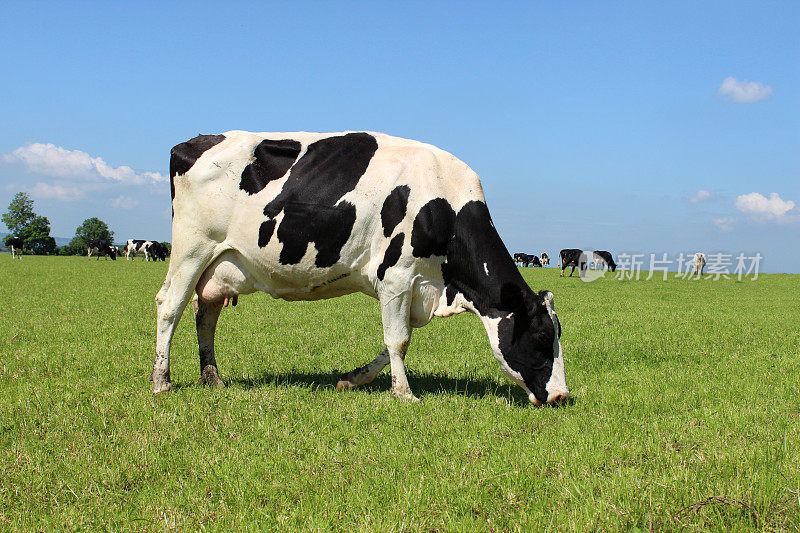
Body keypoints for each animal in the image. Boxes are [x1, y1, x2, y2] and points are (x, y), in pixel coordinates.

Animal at [155, 131, 568, 406]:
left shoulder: (414, 287)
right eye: (542, 337)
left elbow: (394, 342)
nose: (562, 396)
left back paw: (213, 378)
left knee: (206, 311)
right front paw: (405, 395)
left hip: (218, 263)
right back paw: (162, 381)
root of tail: (193, 142)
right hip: (192, 248)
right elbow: (398, 340)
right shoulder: (397, 276)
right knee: (170, 306)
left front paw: (353, 379)